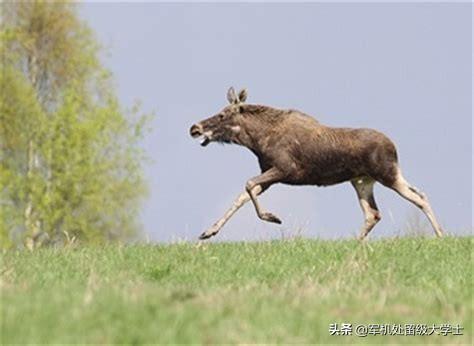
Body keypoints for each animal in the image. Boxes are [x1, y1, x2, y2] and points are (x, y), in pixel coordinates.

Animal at [190, 87, 444, 241]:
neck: (256, 141)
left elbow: (247, 184)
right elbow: (243, 195)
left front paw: (273, 217)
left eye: (223, 115)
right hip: (363, 180)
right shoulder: (271, 174)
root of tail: (394, 146)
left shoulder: (284, 170)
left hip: (386, 174)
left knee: (418, 198)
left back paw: (441, 234)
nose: (195, 128)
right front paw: (209, 231)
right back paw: (356, 242)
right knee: (376, 212)